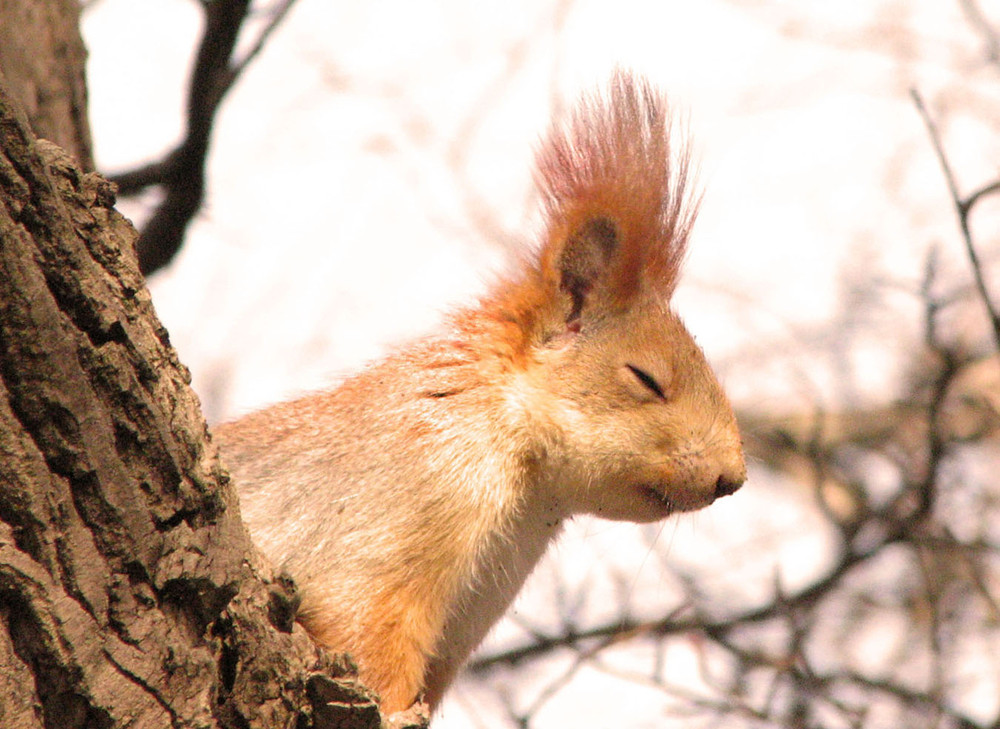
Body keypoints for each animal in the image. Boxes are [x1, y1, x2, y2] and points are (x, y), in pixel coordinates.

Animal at [215, 71, 748, 712]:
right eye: (645, 378)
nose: (732, 478)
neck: (529, 496)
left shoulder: (466, 617)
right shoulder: (406, 498)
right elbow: (365, 631)